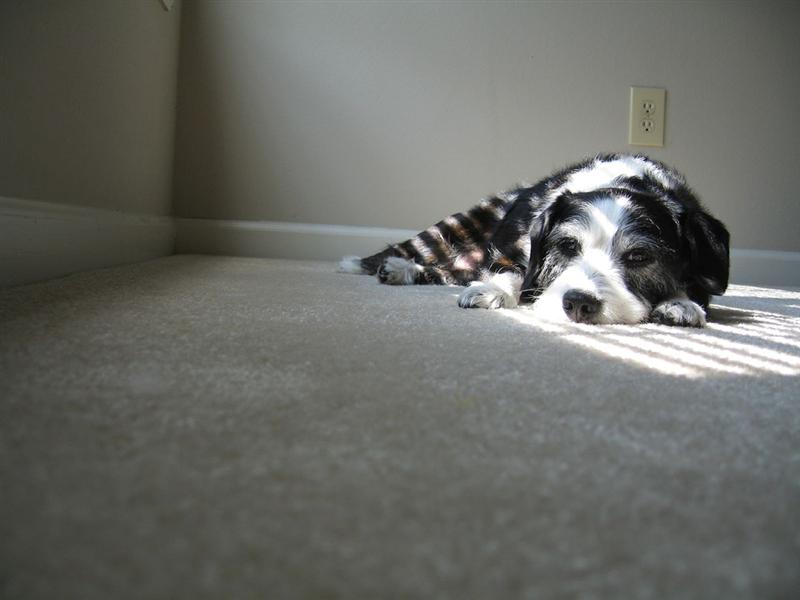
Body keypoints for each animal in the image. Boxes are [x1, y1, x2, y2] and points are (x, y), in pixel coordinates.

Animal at [340, 152, 728, 326]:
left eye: (639, 257)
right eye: (567, 245)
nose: (578, 304)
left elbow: (695, 288)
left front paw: (681, 305)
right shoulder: (511, 251)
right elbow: (511, 271)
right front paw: (492, 292)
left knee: (449, 274)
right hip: (457, 223)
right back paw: (380, 265)